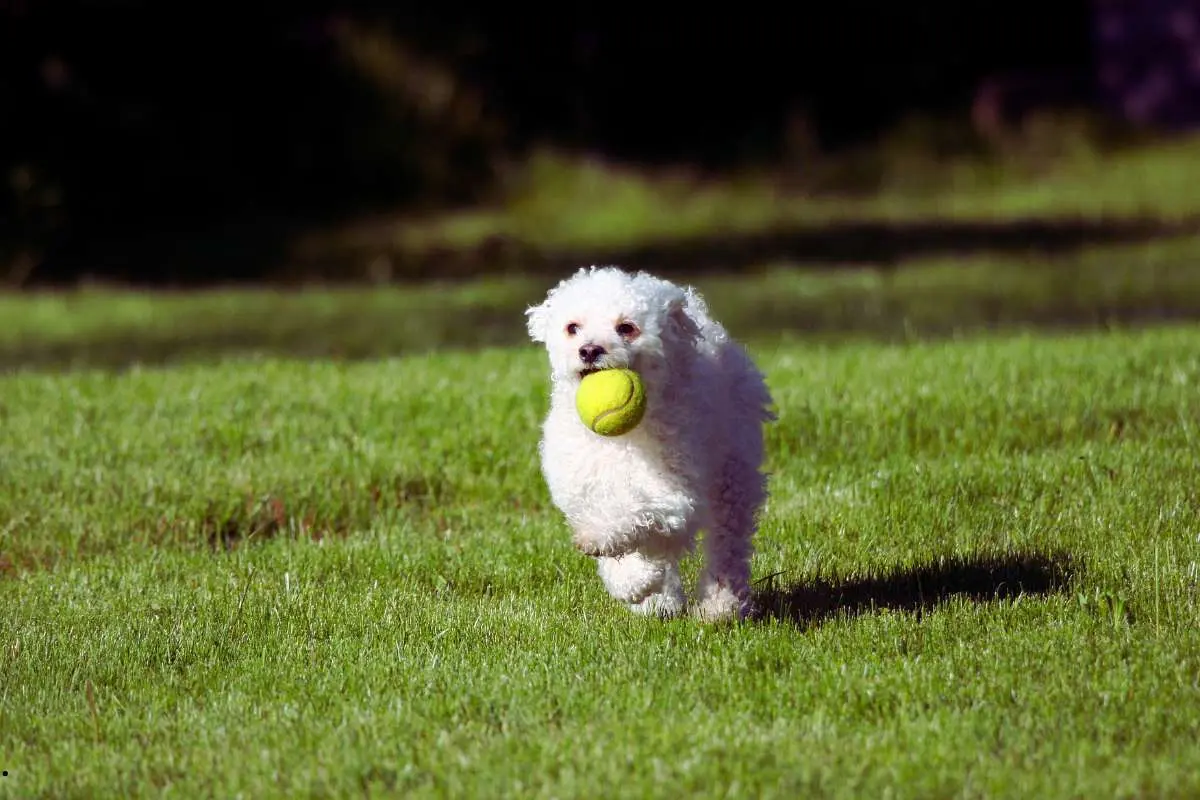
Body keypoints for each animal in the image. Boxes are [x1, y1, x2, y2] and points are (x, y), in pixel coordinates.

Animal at [528, 266, 777, 623]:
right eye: (572, 327)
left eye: (626, 328)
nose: (588, 350)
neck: (621, 441)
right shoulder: (584, 490)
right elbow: (625, 539)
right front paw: (638, 585)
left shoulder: (673, 494)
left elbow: (632, 517)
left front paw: (632, 575)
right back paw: (661, 600)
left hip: (732, 471)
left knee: (728, 540)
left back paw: (721, 605)